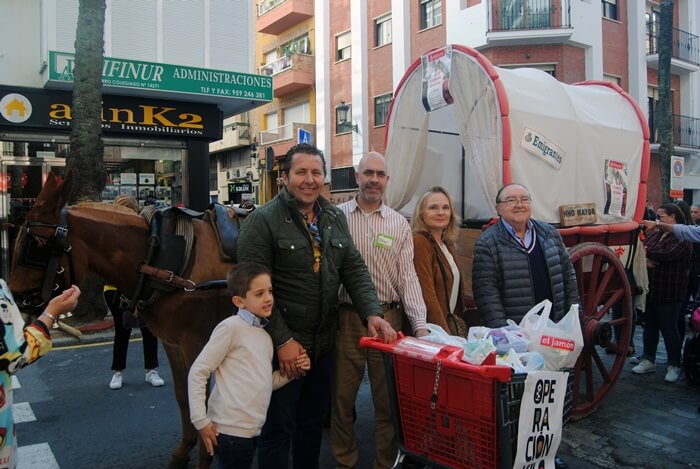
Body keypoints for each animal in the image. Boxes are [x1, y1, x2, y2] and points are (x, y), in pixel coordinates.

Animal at [8, 173, 235, 468]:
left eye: (35, 245)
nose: (15, 301)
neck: (156, 255)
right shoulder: (173, 343)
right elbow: (183, 396)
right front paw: (184, 450)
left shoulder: (197, 343)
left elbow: (202, 401)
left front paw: (206, 456)